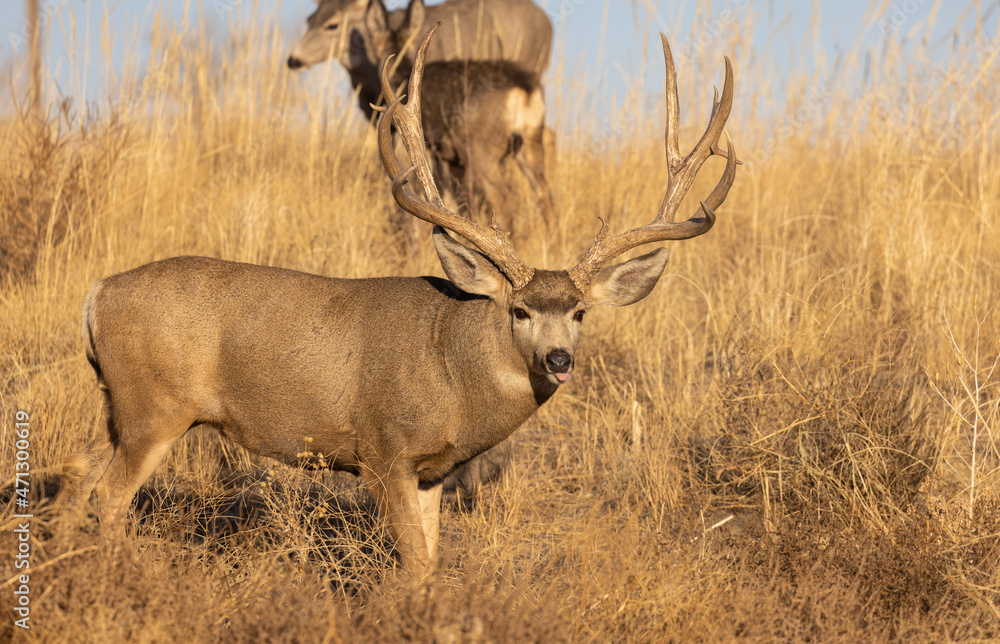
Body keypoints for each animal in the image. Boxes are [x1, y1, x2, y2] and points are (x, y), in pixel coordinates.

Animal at [56, 28, 736, 578]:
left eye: (579, 312)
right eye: (518, 311)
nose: (559, 359)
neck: (454, 370)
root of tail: (95, 295)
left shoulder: (432, 472)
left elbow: (431, 561)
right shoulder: (382, 451)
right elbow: (410, 564)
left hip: (118, 407)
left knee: (74, 476)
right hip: (154, 408)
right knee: (107, 498)